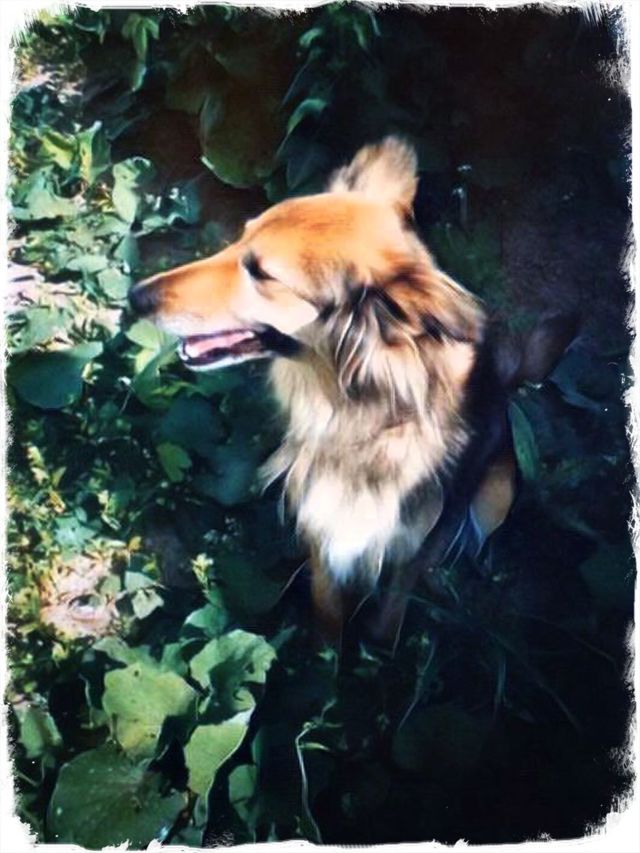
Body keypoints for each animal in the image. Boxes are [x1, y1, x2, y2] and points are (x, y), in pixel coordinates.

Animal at [129, 137, 576, 645]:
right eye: (241, 237)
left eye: (262, 274)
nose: (135, 296)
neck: (354, 413)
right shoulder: (321, 527)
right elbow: (328, 614)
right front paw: (327, 657)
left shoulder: (412, 543)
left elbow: (391, 612)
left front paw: (379, 657)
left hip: (495, 491)